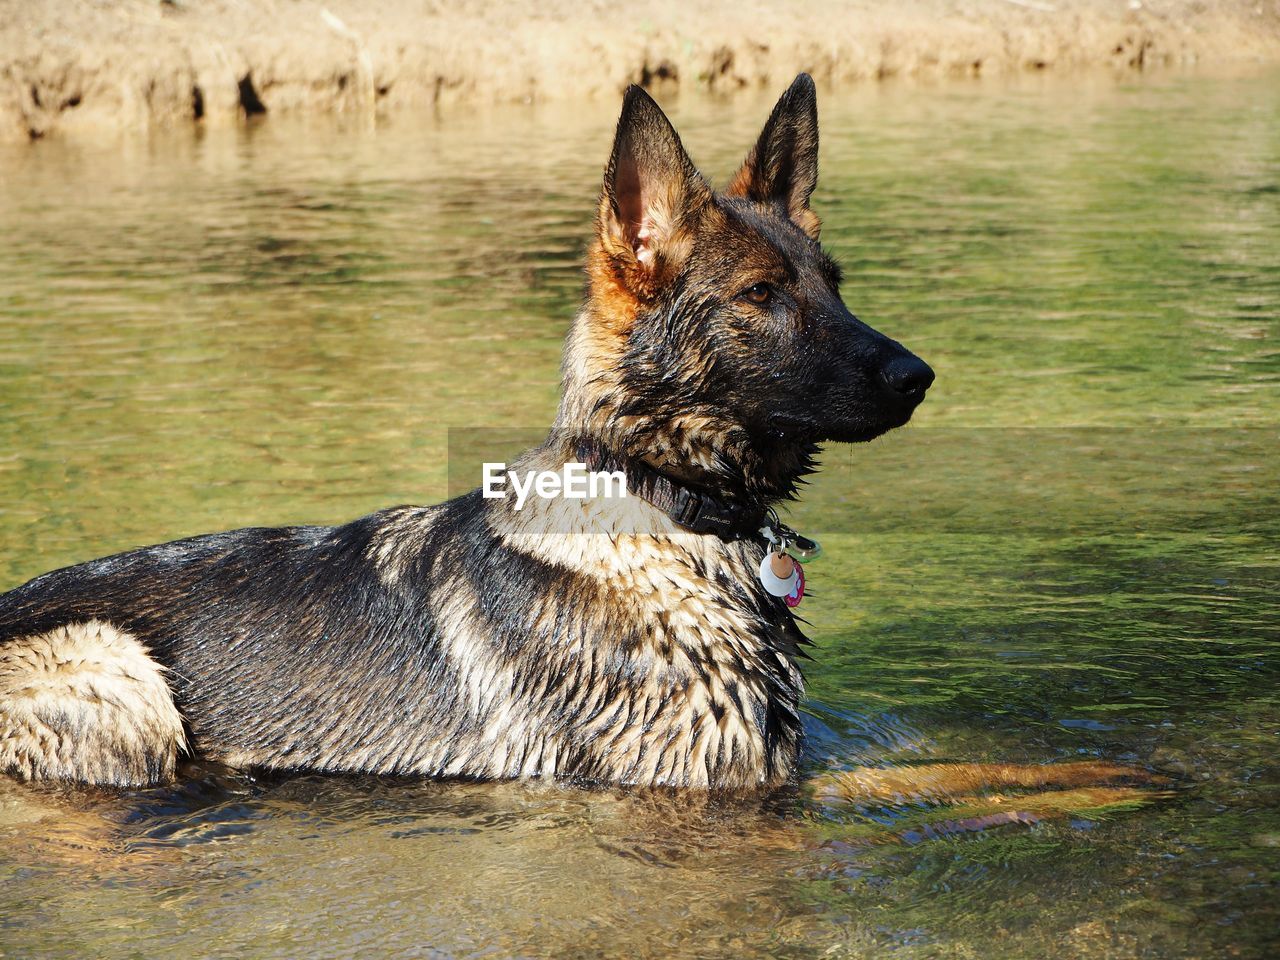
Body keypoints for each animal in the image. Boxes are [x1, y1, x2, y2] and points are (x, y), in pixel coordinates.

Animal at [0, 79, 1157, 814]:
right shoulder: (724, 782)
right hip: (115, 667)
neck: (663, 504)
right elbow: (936, 782)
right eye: (760, 297)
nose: (919, 378)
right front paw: (1120, 784)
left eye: (834, 284)